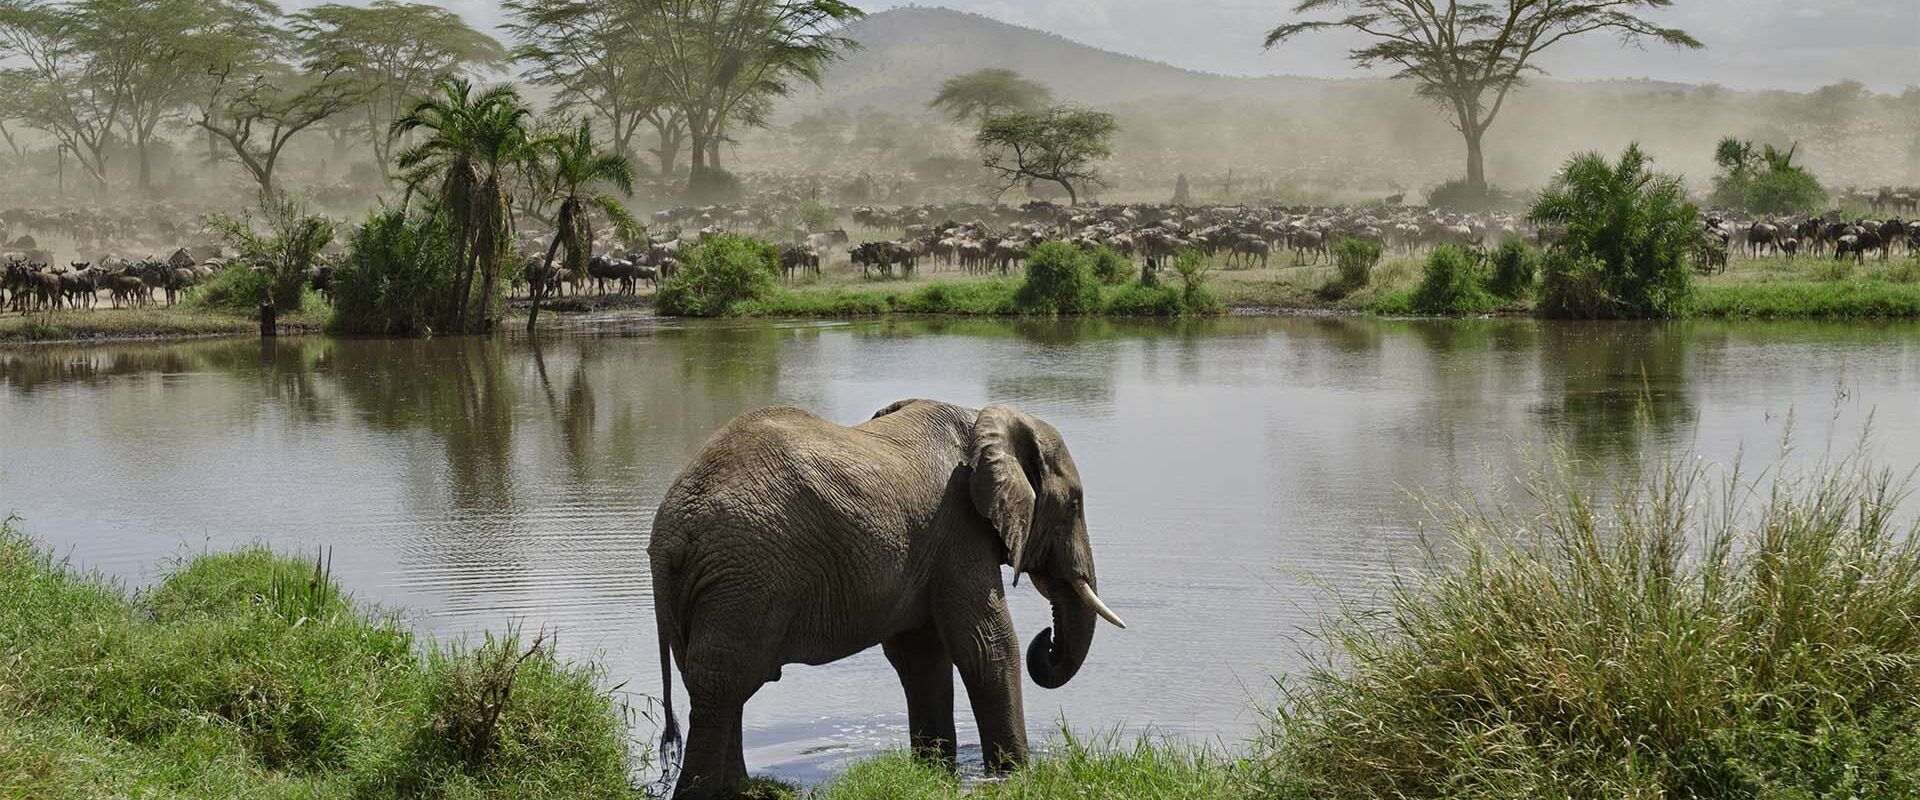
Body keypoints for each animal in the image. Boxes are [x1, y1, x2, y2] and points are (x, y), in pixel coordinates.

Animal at [648, 399, 1121, 798]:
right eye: (1074, 505)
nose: (1047, 640)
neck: (983, 419)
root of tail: (671, 531)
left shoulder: (930, 545)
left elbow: (921, 656)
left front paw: (935, 772)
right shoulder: (959, 528)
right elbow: (987, 645)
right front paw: (1016, 776)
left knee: (720, 683)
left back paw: (744, 789)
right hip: (746, 574)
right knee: (722, 683)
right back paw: (704, 794)